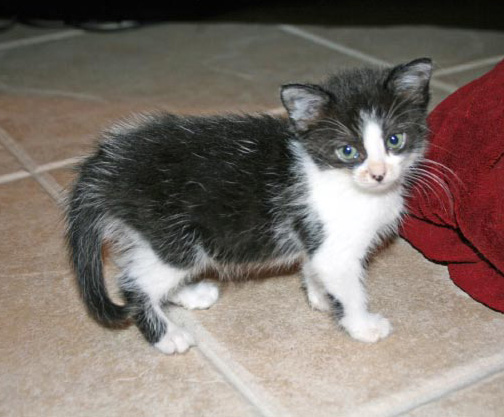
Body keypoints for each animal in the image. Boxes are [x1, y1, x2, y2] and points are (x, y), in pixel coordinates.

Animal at [66, 57, 434, 352]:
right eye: (348, 151)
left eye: (395, 140)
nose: (379, 173)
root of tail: (107, 165)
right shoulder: (334, 246)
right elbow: (346, 285)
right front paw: (362, 325)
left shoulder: (315, 237)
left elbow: (314, 265)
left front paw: (320, 296)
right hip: (176, 239)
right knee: (134, 283)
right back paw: (167, 336)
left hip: (149, 235)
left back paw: (188, 294)